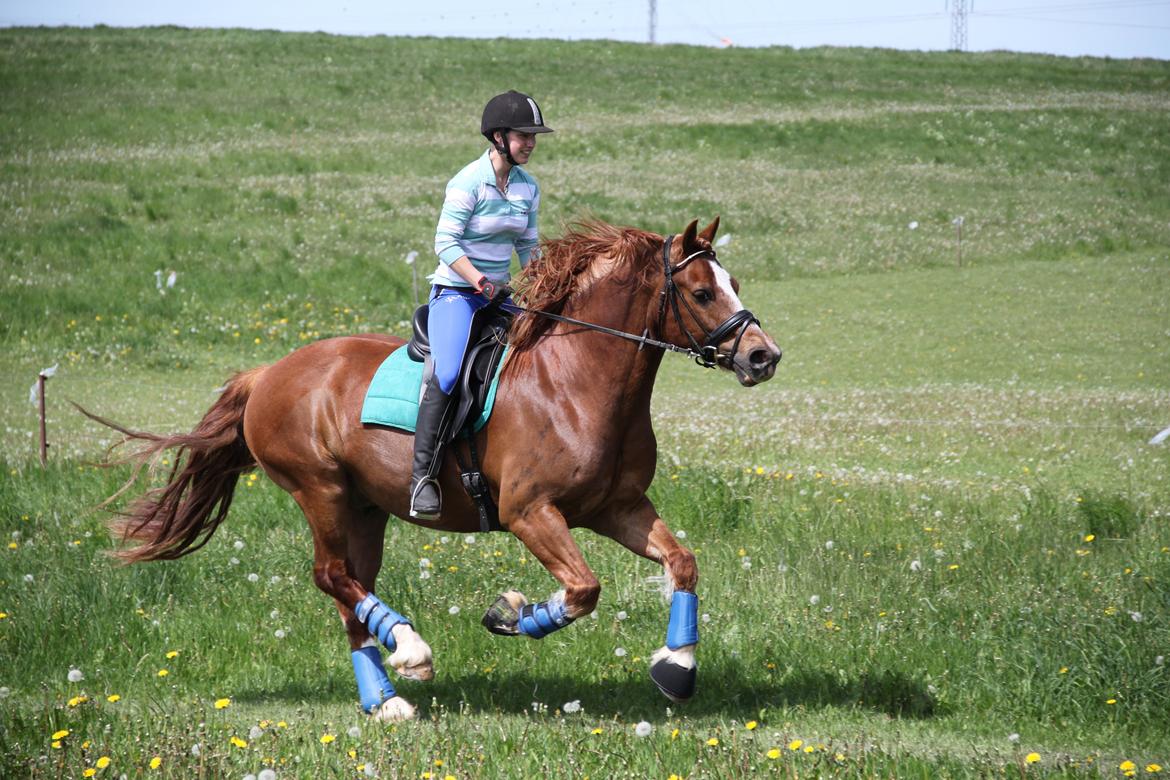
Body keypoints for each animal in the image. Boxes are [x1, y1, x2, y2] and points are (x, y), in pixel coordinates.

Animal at [98, 218, 776, 720]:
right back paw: (411, 649)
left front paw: (676, 668)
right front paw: (511, 613)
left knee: (350, 590)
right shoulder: (529, 513)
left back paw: (386, 698)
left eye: (735, 281)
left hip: (366, 508)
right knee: (331, 576)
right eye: (702, 292)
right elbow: (583, 589)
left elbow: (681, 562)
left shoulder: (618, 508)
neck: (574, 381)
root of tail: (267, 374)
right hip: (321, 491)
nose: (763, 356)